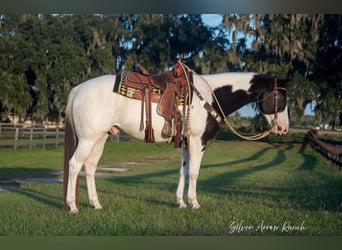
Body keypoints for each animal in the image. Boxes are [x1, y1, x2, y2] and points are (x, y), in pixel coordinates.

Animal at [62, 62, 288, 213]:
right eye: (280, 96)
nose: (283, 128)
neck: (210, 96)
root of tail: (79, 88)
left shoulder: (187, 143)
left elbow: (183, 171)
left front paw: (180, 202)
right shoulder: (198, 141)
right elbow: (194, 172)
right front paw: (194, 203)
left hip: (100, 138)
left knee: (90, 167)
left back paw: (96, 204)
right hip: (88, 139)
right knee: (74, 165)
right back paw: (72, 206)